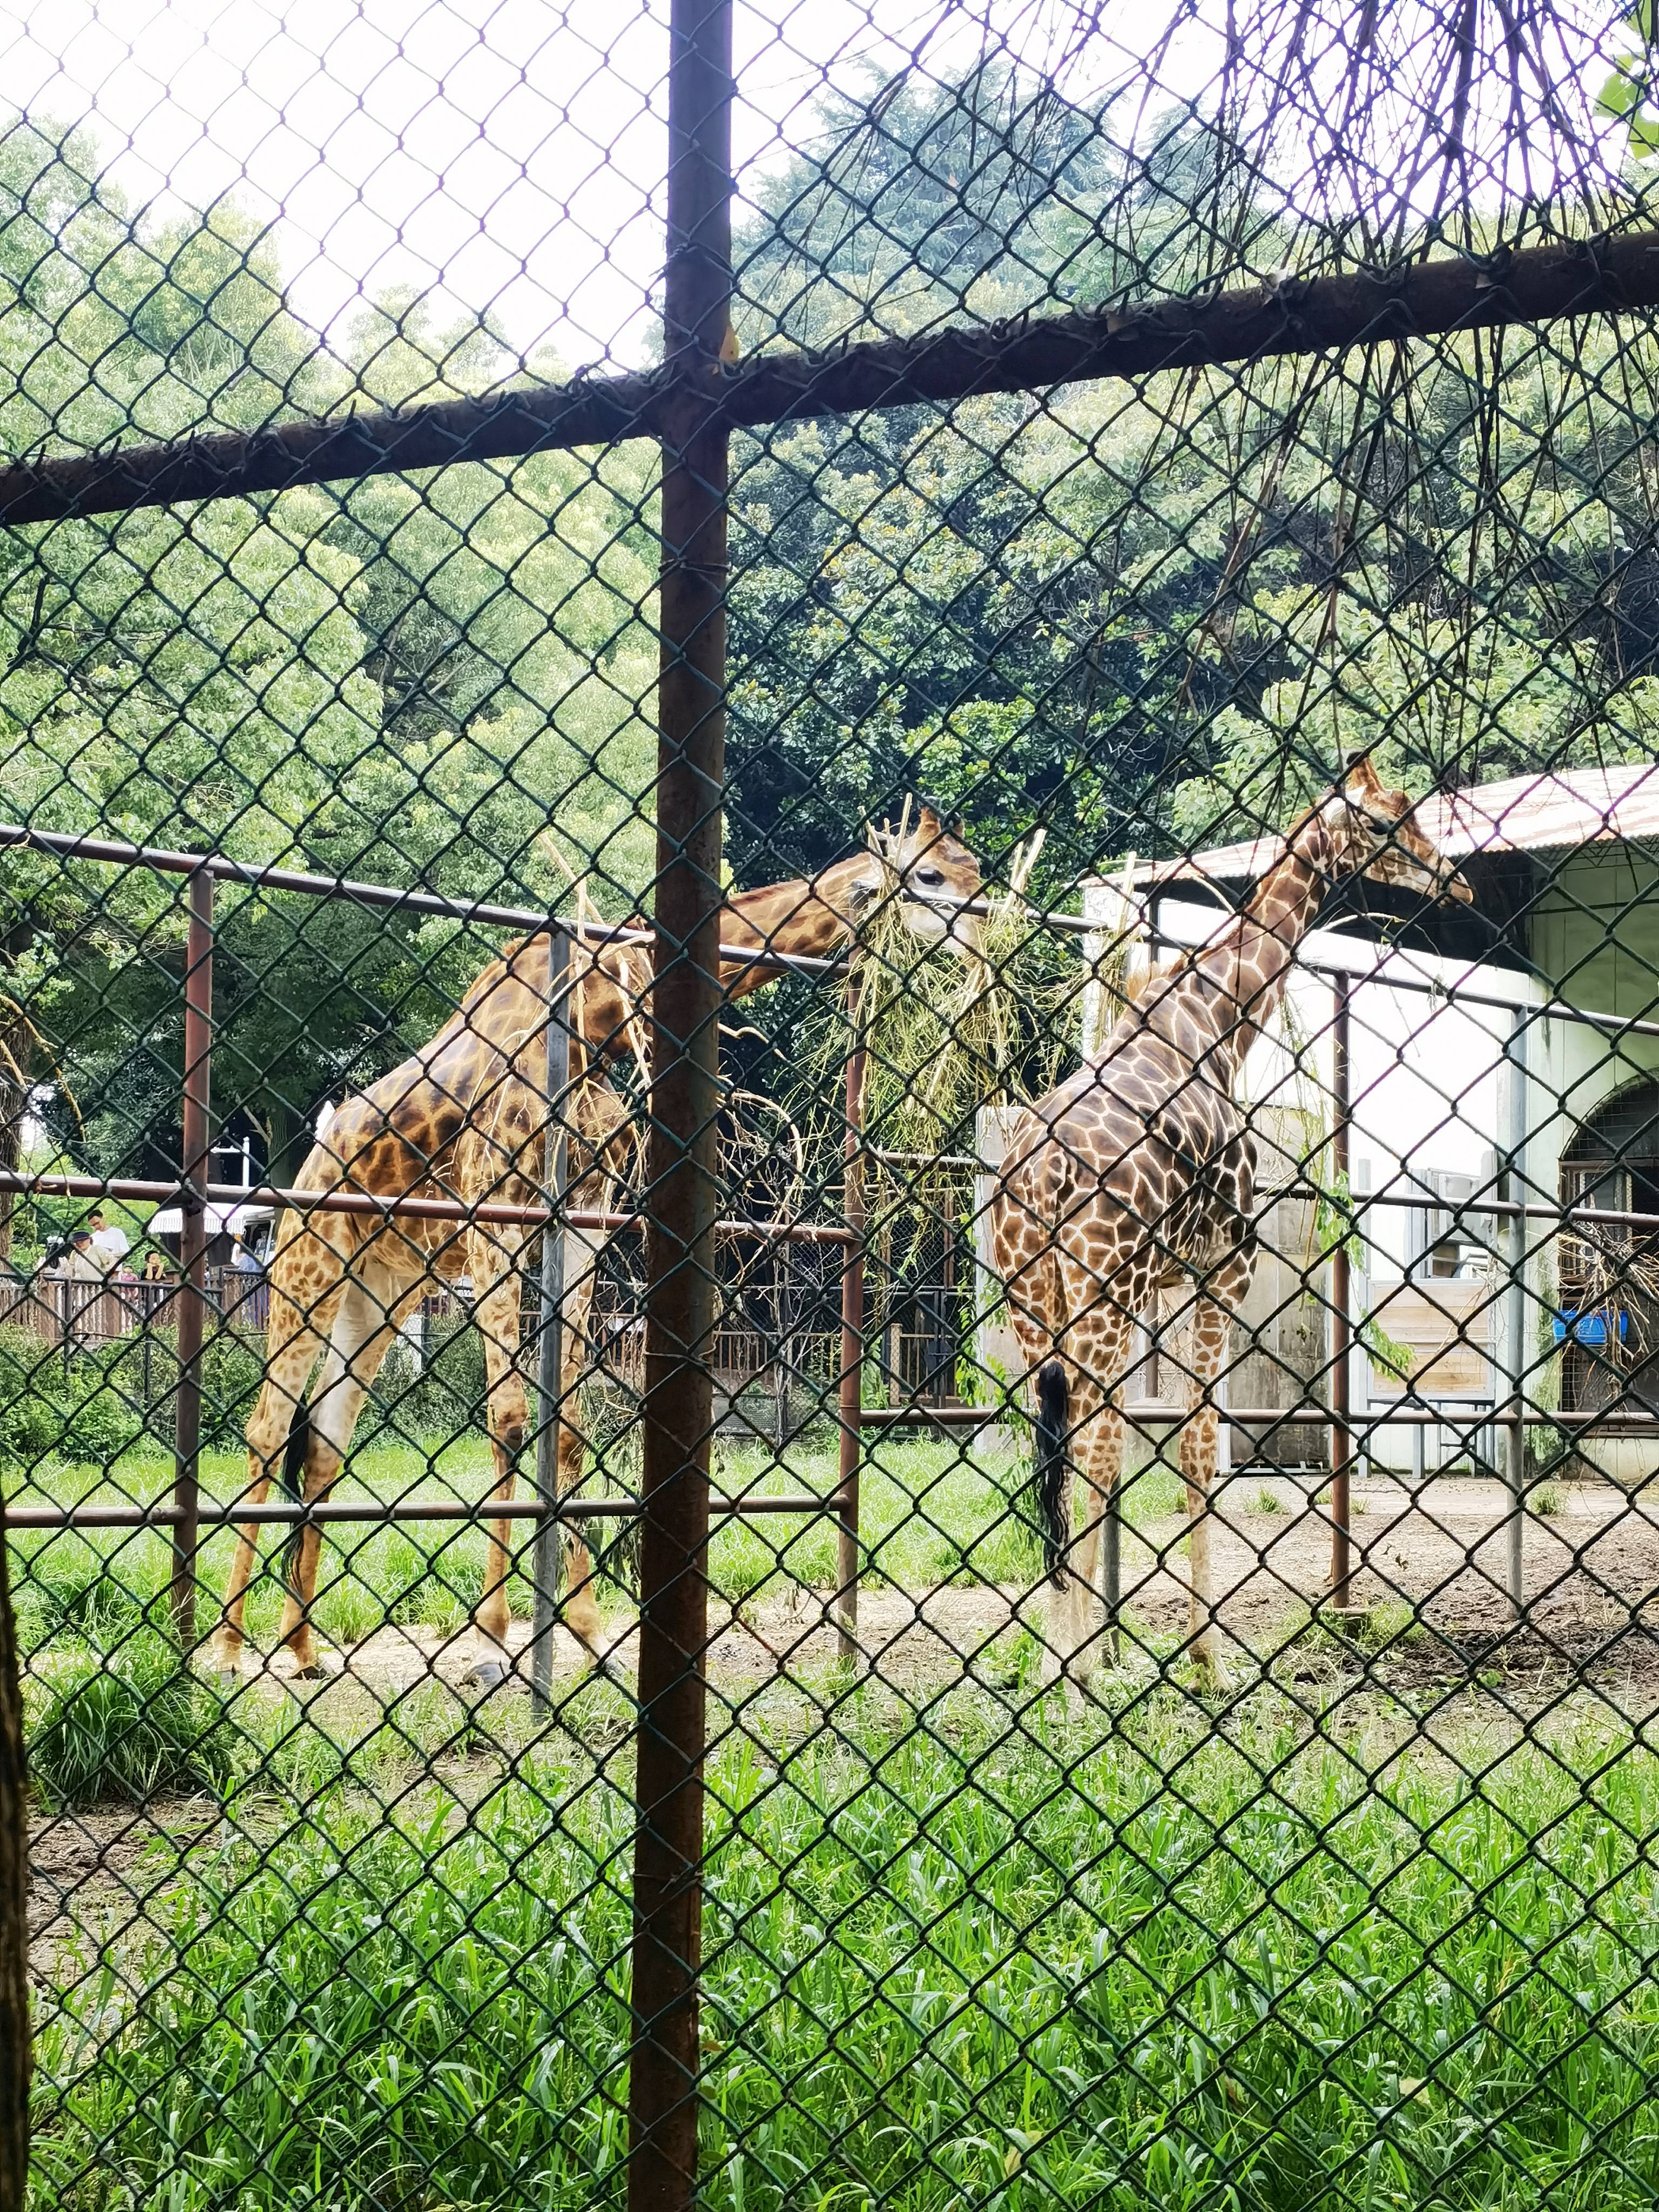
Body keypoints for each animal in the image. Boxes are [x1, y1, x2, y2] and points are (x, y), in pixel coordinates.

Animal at [212, 805, 982, 1681]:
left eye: (976, 868)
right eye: (928, 875)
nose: (988, 931)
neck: (592, 1023)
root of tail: (313, 1153)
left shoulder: (581, 1221)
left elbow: (570, 1421)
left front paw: (582, 1629)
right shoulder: (495, 1215)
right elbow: (512, 1415)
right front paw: (491, 1640)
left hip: (382, 1287)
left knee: (322, 1444)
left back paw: (302, 1648)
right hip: (310, 1264)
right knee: (267, 1428)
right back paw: (228, 1650)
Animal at [995, 752, 1478, 1681]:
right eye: (1388, 820)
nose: (1456, 880)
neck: (1216, 1021)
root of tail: (1038, 1175)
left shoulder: (1165, 1286)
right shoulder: (1222, 1269)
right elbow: (1196, 1447)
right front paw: (1205, 1665)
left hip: (1036, 1300)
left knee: (1062, 1450)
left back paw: (1050, 1667)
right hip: (1100, 1293)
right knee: (1092, 1448)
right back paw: (1076, 1681)